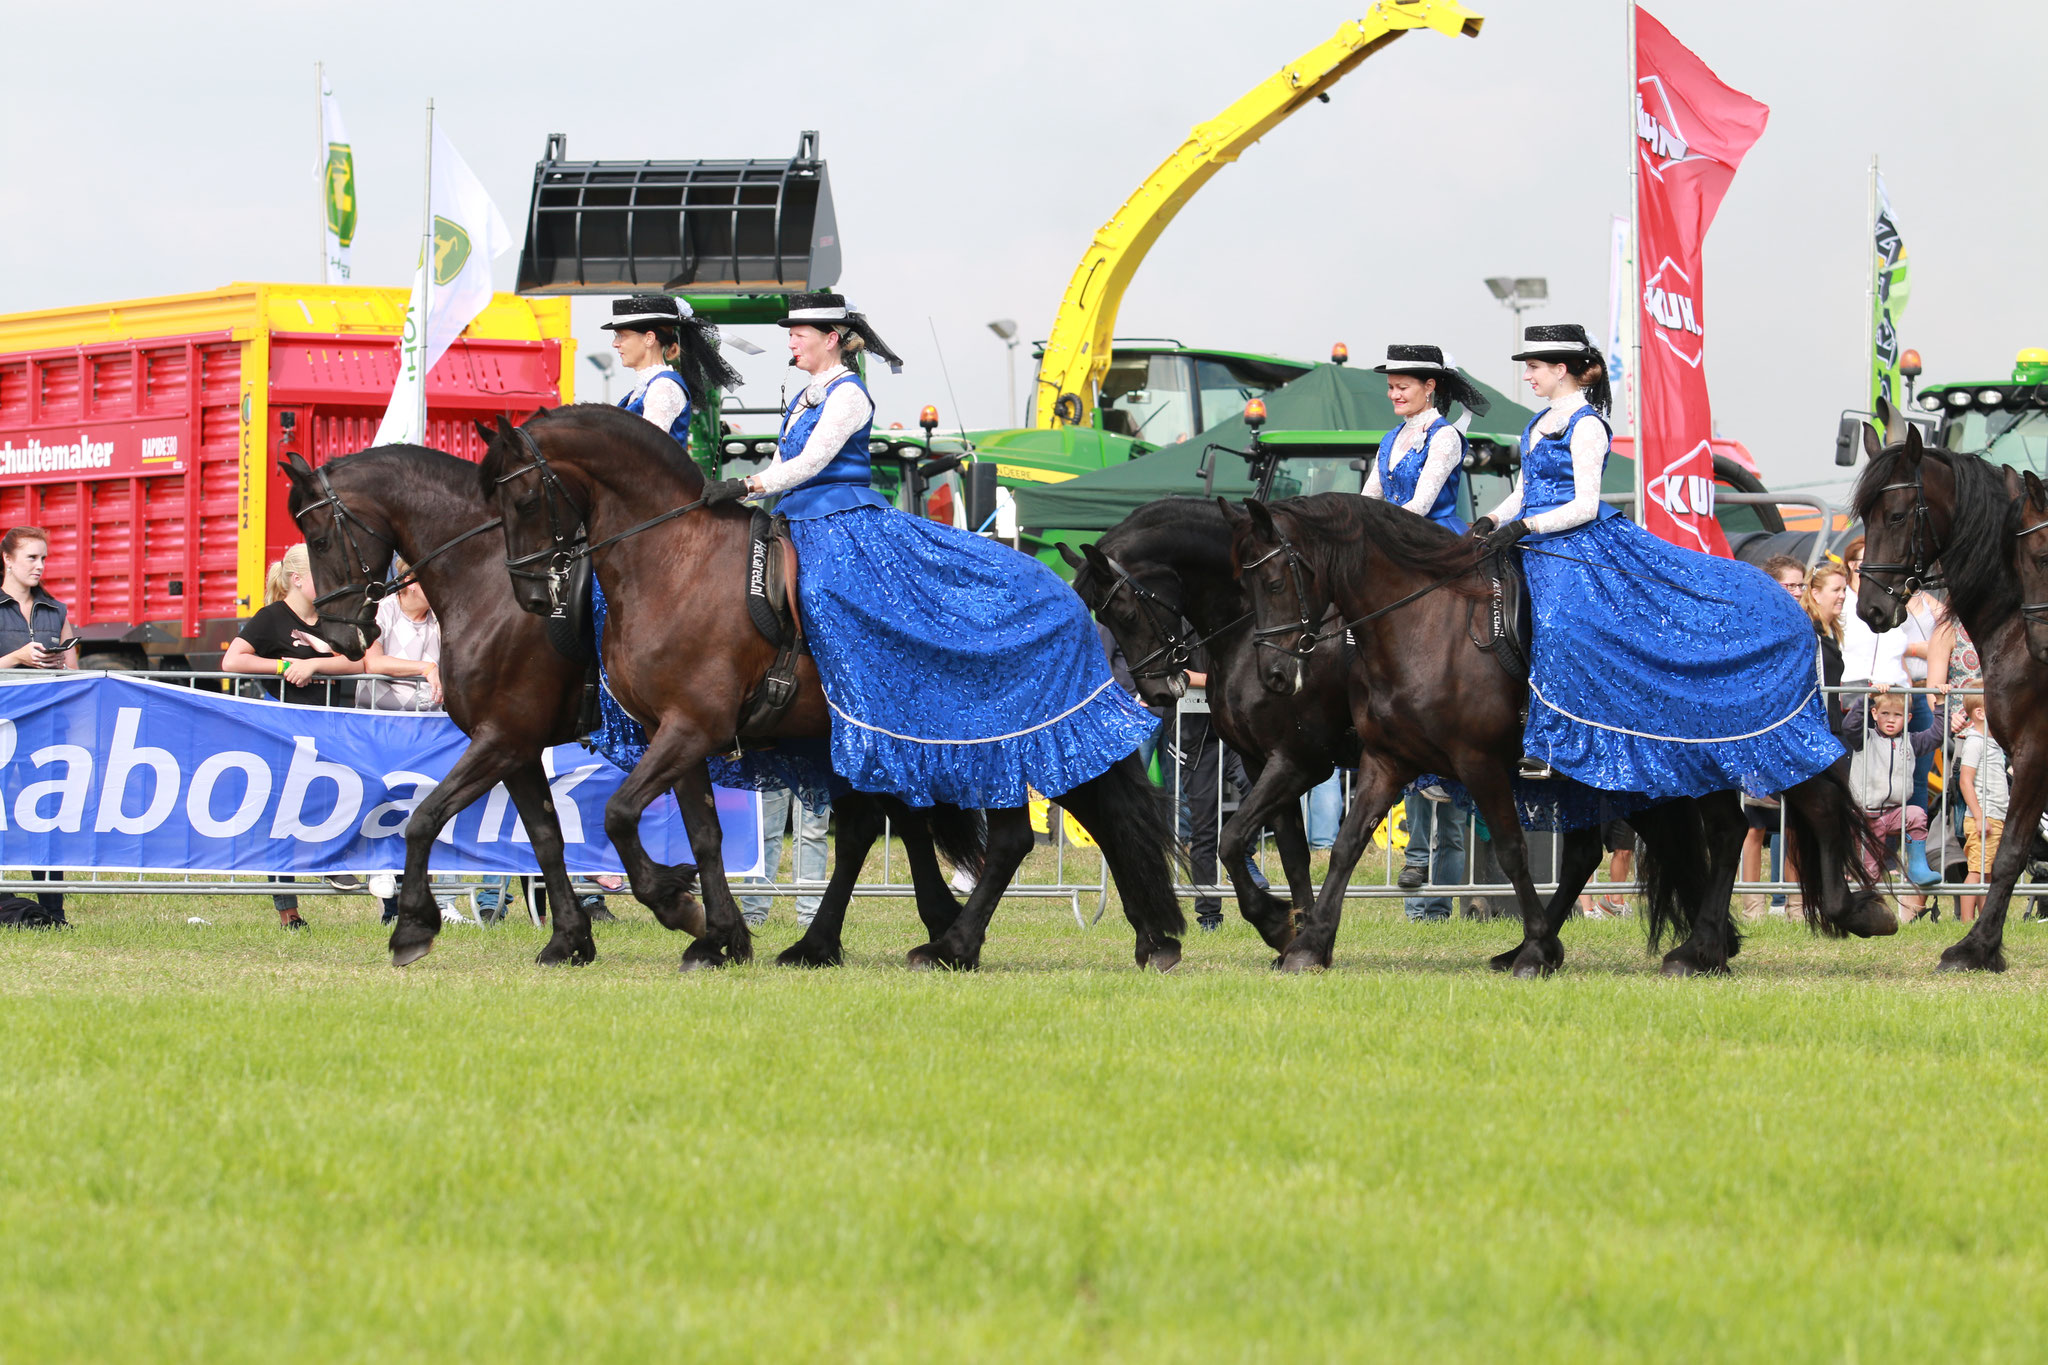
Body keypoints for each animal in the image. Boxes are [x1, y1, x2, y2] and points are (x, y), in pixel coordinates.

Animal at [284, 446, 978, 970]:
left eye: (318, 536)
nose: (341, 637)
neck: (489, 582)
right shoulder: (518, 747)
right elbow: (546, 840)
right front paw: (572, 939)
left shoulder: (502, 737)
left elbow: (424, 819)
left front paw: (412, 928)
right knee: (885, 822)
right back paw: (909, 929)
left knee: (888, 821)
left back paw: (929, 933)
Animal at [477, 405, 1187, 970]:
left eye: (524, 500)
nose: (532, 596)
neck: (676, 561)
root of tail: (1067, 596)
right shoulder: (673, 732)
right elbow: (703, 834)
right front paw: (718, 936)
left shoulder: (691, 728)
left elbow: (620, 814)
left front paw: (677, 905)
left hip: (1005, 734)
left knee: (1021, 836)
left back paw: (957, 947)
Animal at [1212, 497, 1884, 978]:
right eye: (1241, 584)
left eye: (1275, 581)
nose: (1275, 675)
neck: (1419, 625)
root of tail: (1790, 603)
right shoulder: (1384, 761)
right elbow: (1343, 845)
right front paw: (1309, 941)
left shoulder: (1476, 762)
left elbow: (1511, 850)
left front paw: (1537, 949)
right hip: (1680, 765)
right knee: (1715, 833)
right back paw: (1701, 949)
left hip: (1739, 743)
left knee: (1811, 799)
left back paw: (1845, 912)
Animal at [1859, 427, 2048, 970]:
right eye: (1863, 517)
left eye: (1896, 515)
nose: (1869, 608)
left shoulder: (2034, 750)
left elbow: (2009, 853)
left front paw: (1976, 947)